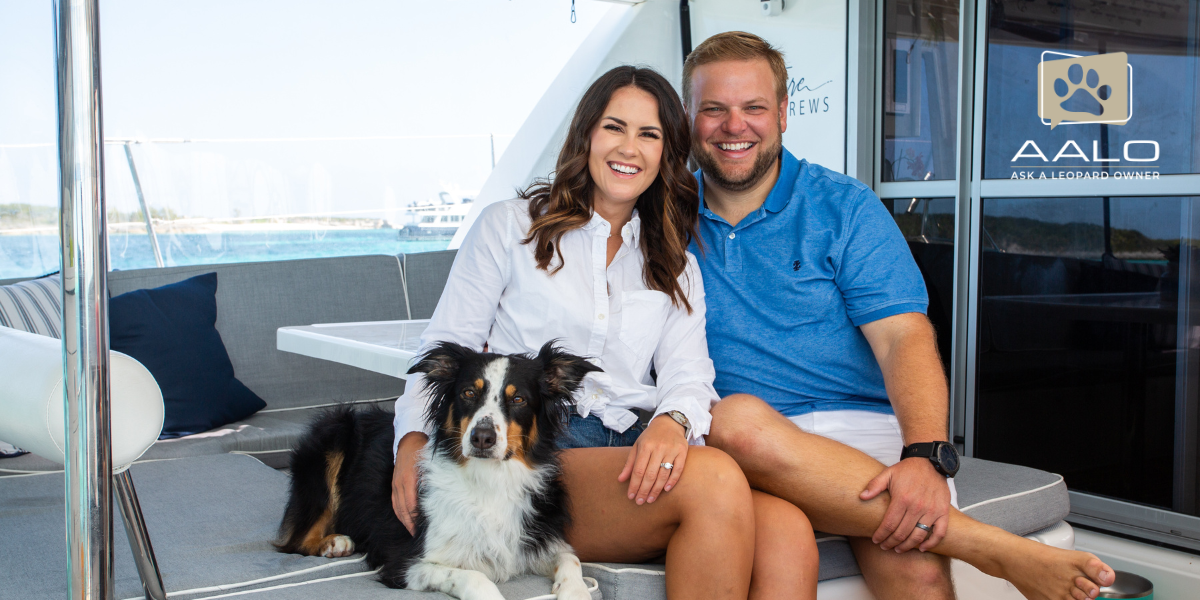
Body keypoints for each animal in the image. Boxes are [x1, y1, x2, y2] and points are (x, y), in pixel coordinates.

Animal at [278, 343, 600, 600]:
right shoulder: (404, 562)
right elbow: (473, 576)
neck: (490, 480)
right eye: (468, 392)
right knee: (295, 542)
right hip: (334, 433)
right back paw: (334, 542)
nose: (482, 438)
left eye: (518, 399)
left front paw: (576, 593)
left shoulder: (537, 541)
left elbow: (571, 559)